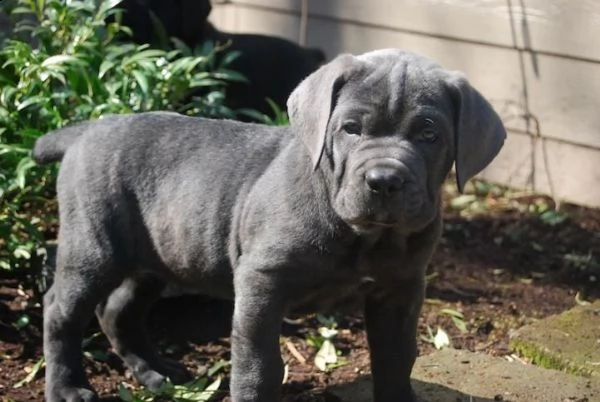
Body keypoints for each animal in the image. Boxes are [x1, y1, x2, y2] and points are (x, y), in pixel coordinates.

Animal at [34, 48, 506, 400]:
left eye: (429, 135)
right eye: (350, 129)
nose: (384, 180)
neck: (366, 237)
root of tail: (84, 132)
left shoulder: (401, 289)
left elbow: (395, 358)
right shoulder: (262, 282)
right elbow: (259, 365)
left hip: (157, 257)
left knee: (118, 310)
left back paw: (155, 372)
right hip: (95, 247)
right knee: (61, 311)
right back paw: (68, 388)